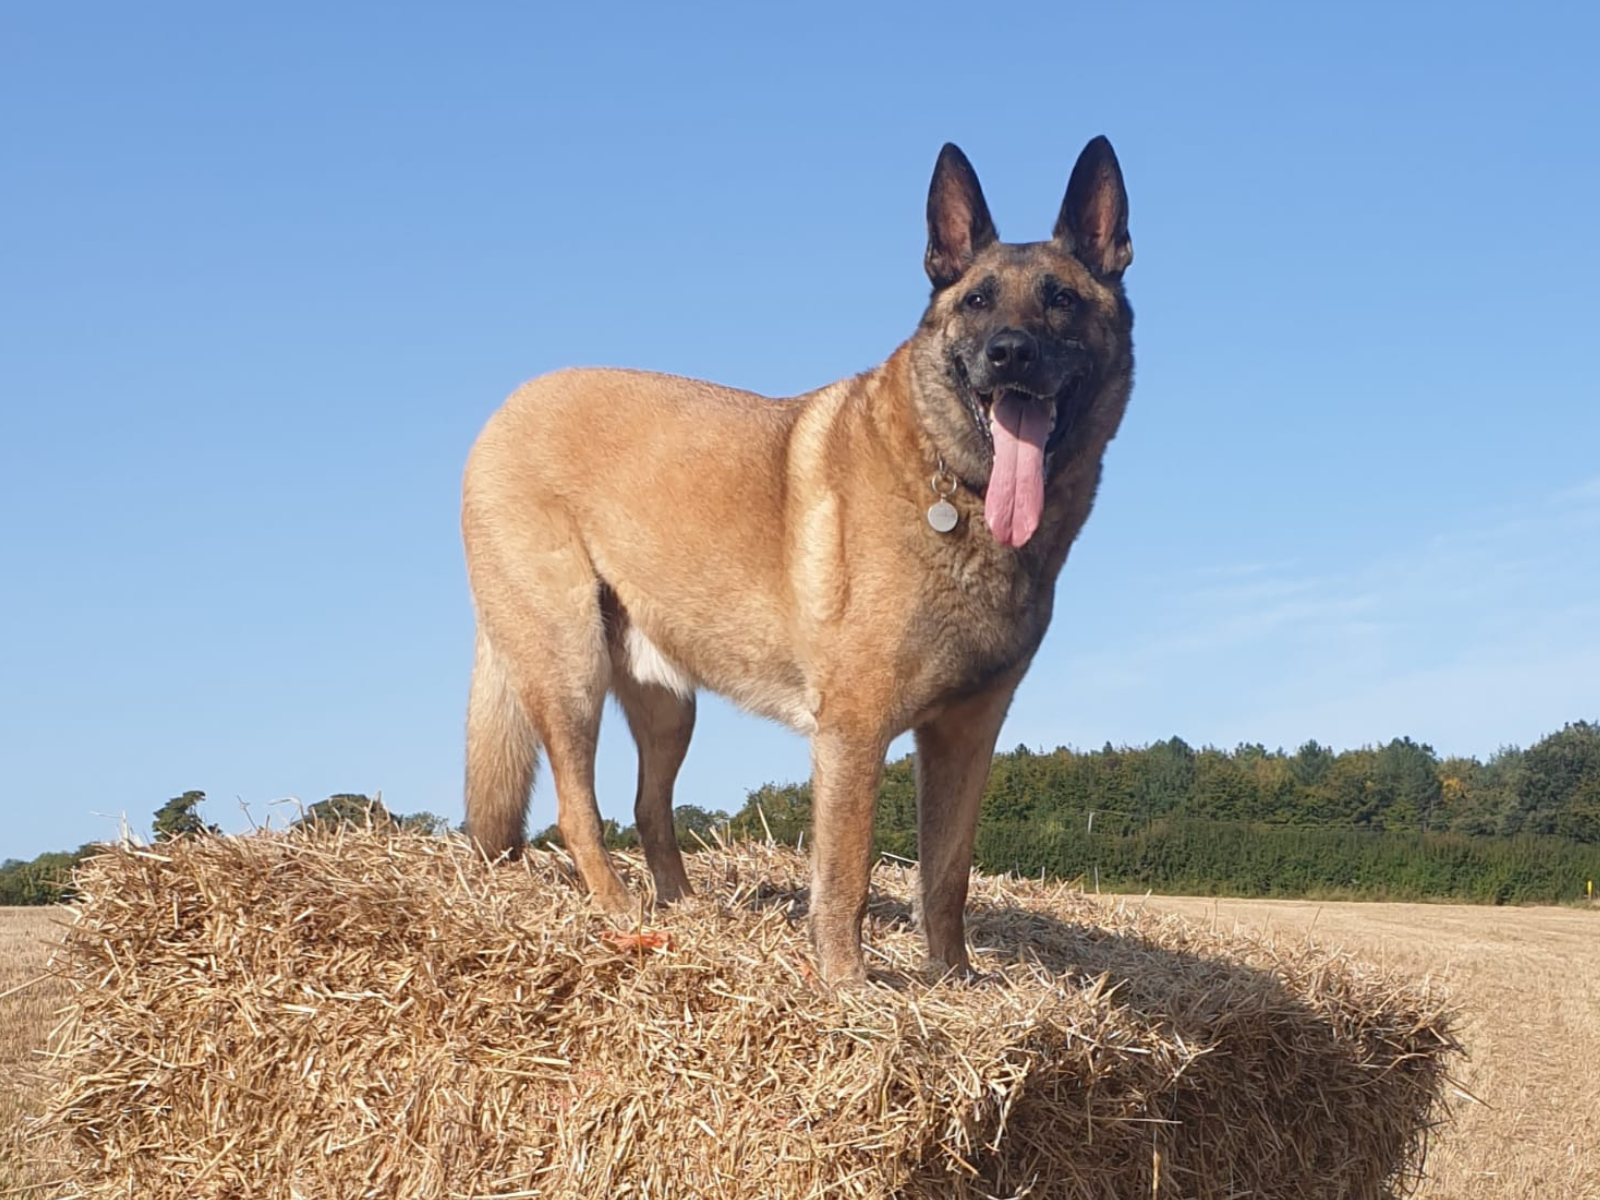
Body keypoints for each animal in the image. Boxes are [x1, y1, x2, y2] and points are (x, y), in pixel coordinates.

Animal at [464, 138, 1139, 985]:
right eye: (978, 301)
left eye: (1062, 299)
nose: (1009, 354)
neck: (952, 482)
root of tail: (502, 410)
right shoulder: (855, 731)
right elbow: (847, 873)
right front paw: (849, 986)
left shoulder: (966, 735)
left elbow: (947, 875)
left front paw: (953, 981)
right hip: (569, 668)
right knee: (576, 808)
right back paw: (622, 913)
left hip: (666, 702)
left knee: (650, 808)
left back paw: (686, 911)